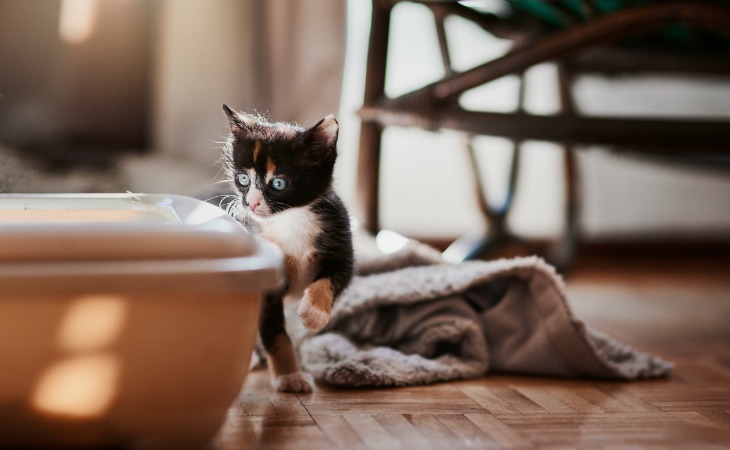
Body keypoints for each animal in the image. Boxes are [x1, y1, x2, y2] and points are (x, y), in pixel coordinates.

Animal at [222, 103, 356, 392]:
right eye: (242, 179)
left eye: (278, 183)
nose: (251, 204)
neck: (291, 219)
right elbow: (273, 331)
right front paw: (289, 376)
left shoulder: (342, 243)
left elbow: (332, 277)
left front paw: (314, 313)